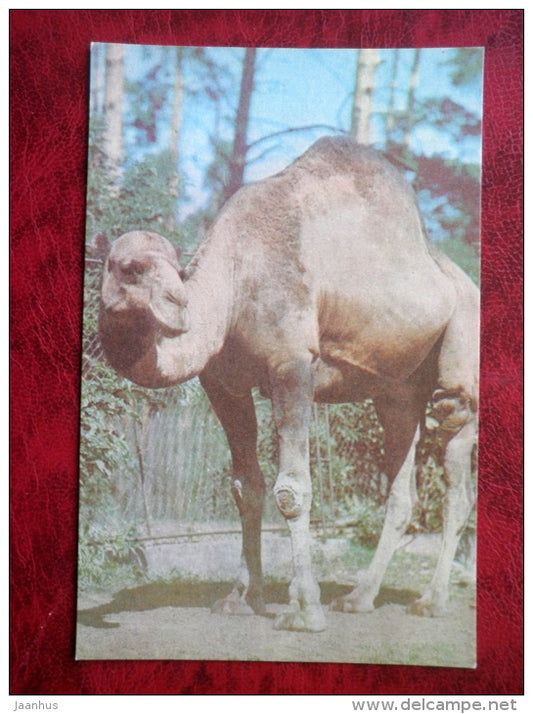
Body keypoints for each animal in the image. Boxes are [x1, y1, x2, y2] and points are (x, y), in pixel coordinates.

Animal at [98, 136, 479, 632]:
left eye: (173, 271)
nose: (178, 304)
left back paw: (431, 600)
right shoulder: (223, 384)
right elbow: (246, 488)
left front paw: (304, 609)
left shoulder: (292, 365)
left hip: (462, 359)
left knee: (456, 450)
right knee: (401, 487)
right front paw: (241, 599)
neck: (235, 281)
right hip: (396, 393)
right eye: (127, 268)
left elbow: (292, 490)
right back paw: (359, 598)